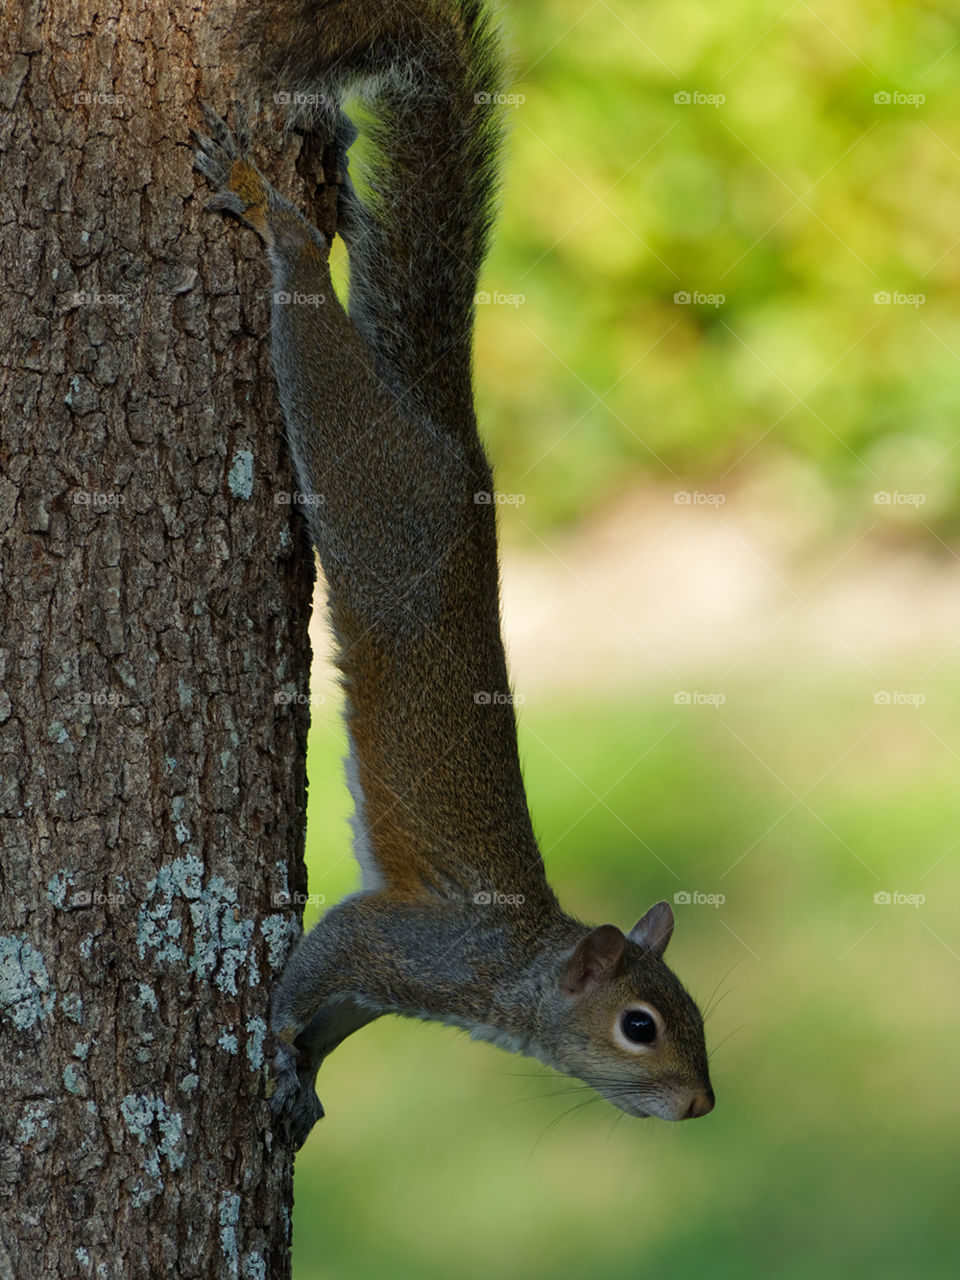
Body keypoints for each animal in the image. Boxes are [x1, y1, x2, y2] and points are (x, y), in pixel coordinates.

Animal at [193, 0, 716, 1152]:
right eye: (641, 1025)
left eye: (698, 1013)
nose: (703, 1103)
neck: (512, 972)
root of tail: (452, 441)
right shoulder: (403, 942)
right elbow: (321, 961)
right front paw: (277, 1049)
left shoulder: (386, 985)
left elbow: (334, 1018)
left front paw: (306, 1084)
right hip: (364, 472)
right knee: (309, 317)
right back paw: (275, 213)